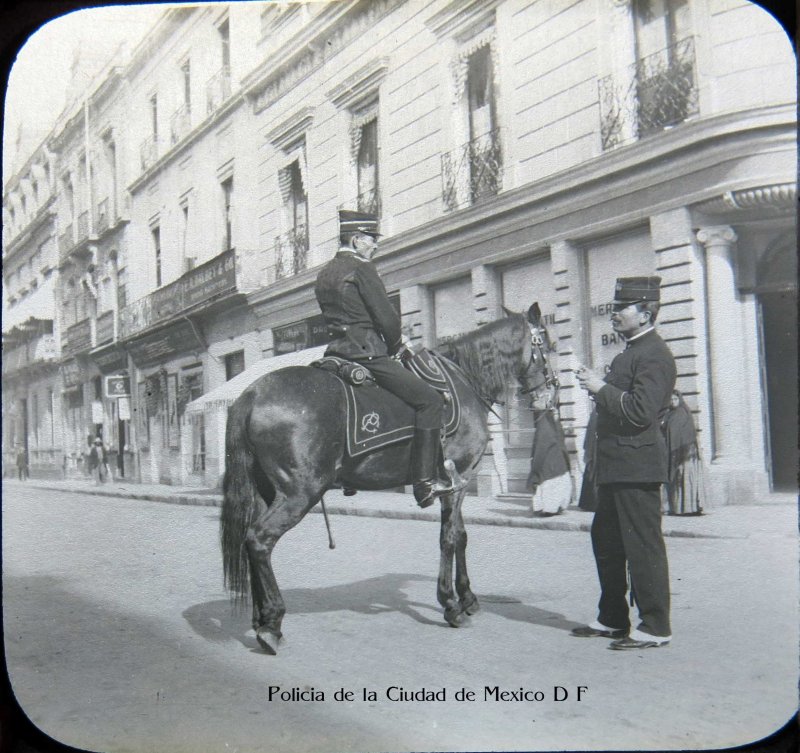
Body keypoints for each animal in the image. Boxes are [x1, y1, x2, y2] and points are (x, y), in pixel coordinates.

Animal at [219, 304, 556, 652]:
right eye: (546, 344)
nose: (549, 393)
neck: (464, 382)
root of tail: (251, 394)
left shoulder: (459, 483)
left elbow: (461, 536)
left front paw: (468, 598)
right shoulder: (457, 480)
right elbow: (449, 538)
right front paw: (451, 604)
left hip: (267, 492)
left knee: (250, 540)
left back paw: (261, 619)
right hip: (299, 492)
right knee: (259, 539)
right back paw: (272, 623)